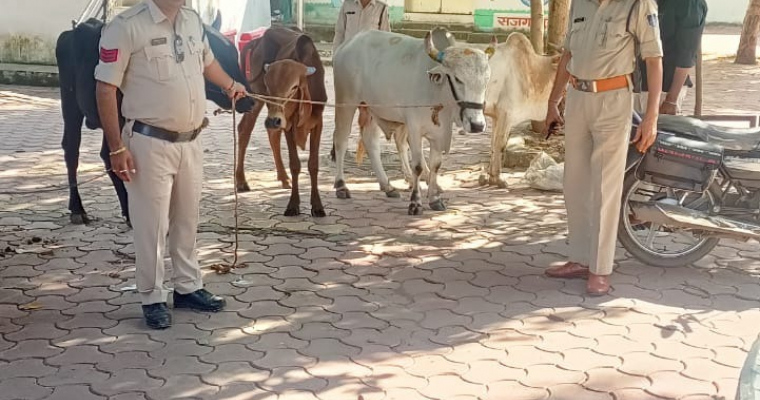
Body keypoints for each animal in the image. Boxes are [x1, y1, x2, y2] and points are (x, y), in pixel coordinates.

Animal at [236, 27, 326, 217]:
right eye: (269, 87)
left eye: (293, 88)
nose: (273, 120)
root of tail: (255, 41)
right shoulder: (288, 124)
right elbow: (295, 164)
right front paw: (293, 205)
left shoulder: (318, 122)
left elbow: (313, 164)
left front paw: (317, 205)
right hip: (257, 98)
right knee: (245, 128)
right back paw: (241, 181)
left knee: (271, 133)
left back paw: (283, 178)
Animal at [332, 29, 494, 215]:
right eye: (458, 78)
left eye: (486, 80)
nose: (477, 125)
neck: (437, 92)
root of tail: (349, 43)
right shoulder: (414, 128)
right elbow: (418, 166)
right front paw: (415, 203)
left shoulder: (438, 133)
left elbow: (435, 165)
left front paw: (435, 199)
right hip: (346, 102)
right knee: (341, 140)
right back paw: (341, 186)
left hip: (372, 108)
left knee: (370, 142)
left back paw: (387, 186)